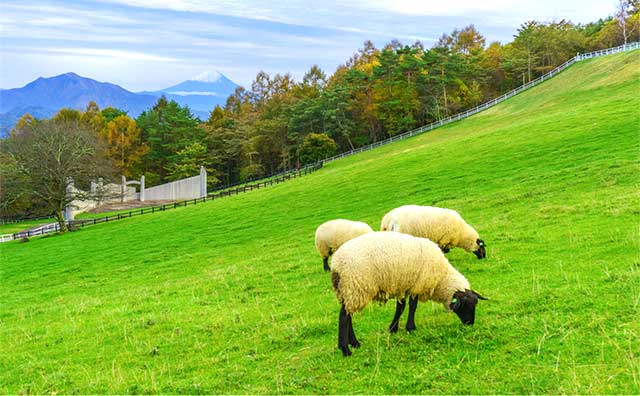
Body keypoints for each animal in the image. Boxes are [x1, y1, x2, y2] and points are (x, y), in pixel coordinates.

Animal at [330, 230, 484, 358]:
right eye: (465, 306)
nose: (470, 324)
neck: (441, 279)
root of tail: (336, 264)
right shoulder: (416, 285)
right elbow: (412, 306)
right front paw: (411, 328)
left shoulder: (404, 286)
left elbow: (401, 307)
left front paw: (393, 328)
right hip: (355, 287)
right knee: (344, 317)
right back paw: (345, 349)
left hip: (347, 291)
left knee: (348, 315)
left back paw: (355, 343)